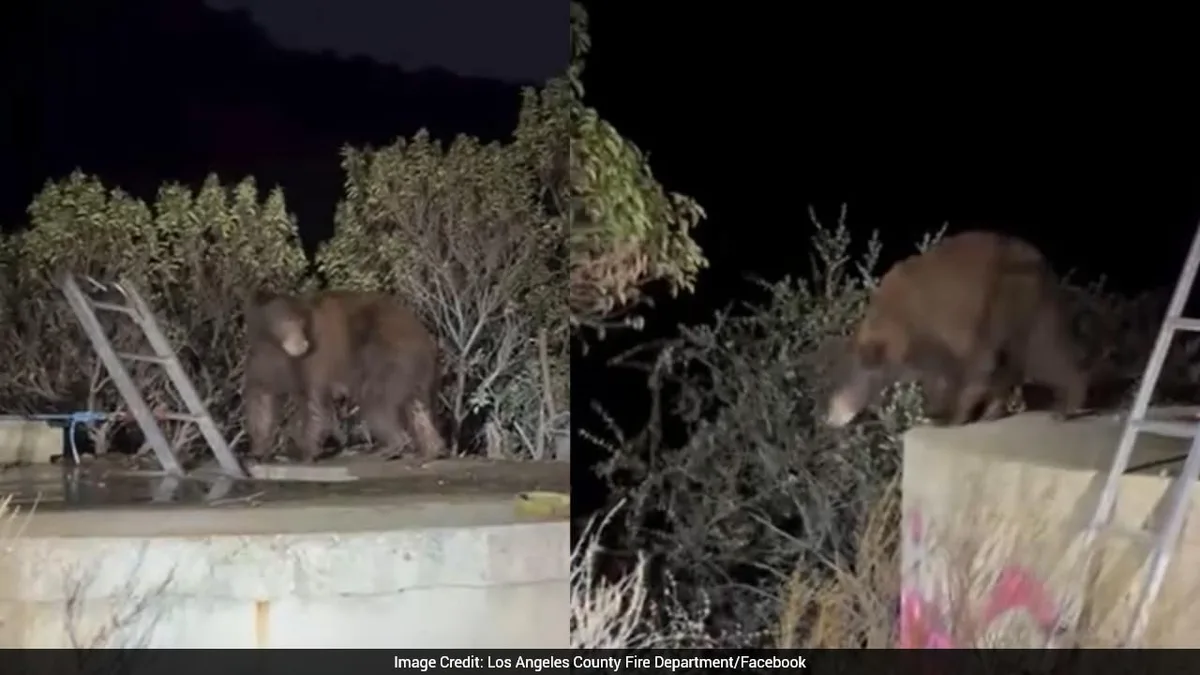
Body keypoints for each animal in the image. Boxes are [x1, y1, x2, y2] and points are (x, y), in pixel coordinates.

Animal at [242, 289, 447, 462]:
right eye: (286, 321)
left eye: (300, 323)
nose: (302, 343)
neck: (276, 346)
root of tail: (427, 341)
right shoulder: (263, 358)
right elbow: (261, 398)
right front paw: (257, 451)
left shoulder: (315, 358)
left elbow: (315, 404)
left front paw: (304, 453)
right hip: (416, 372)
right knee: (417, 408)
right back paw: (429, 450)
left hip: (392, 359)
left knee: (375, 401)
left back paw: (392, 446)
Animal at [824, 230, 1088, 428]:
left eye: (839, 384)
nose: (829, 419)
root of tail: (1044, 266)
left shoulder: (952, 322)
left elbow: (974, 370)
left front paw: (951, 415)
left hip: (1016, 299)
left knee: (1043, 351)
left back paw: (1068, 404)